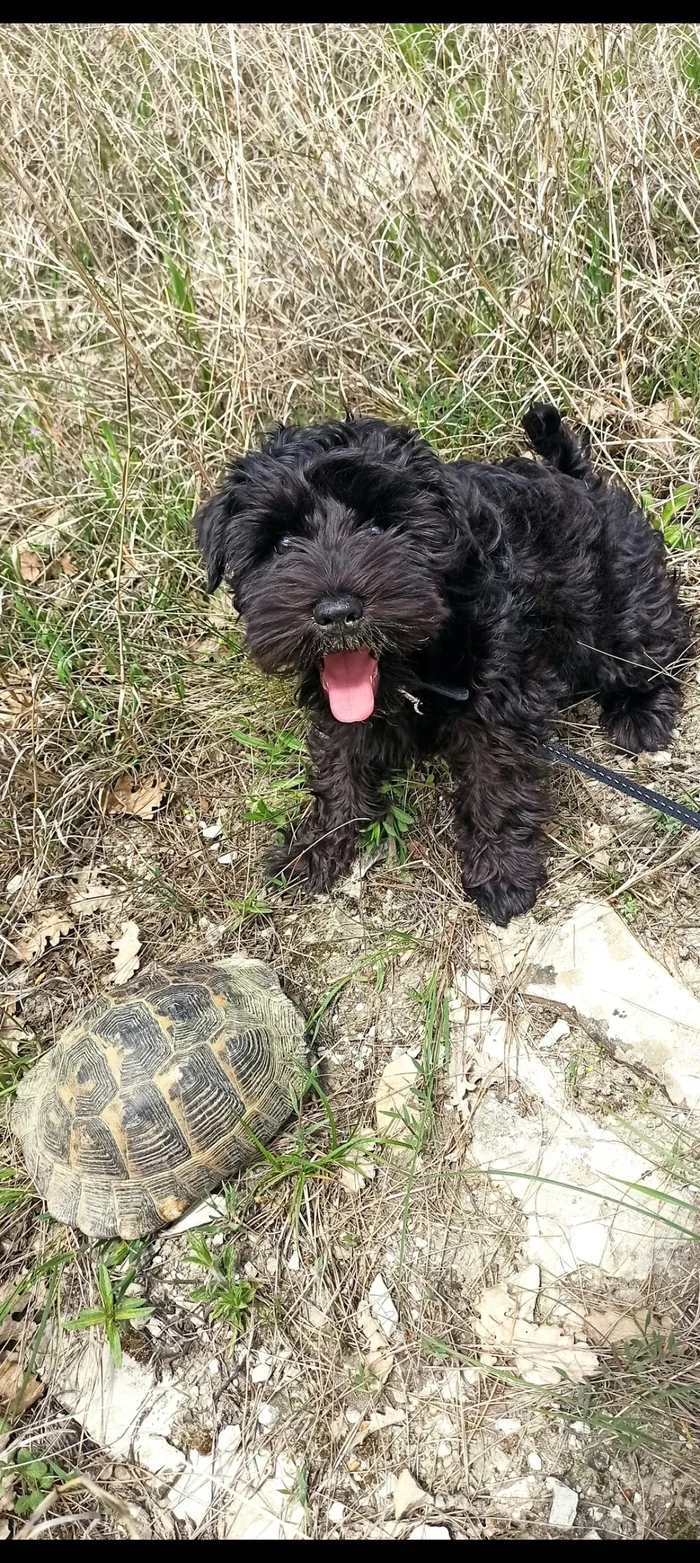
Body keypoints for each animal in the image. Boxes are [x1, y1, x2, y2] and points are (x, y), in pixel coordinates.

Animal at [196, 403, 687, 931]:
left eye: (380, 527)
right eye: (283, 542)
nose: (337, 612)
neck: (416, 661)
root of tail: (582, 481)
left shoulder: (501, 706)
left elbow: (497, 784)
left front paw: (501, 874)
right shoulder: (340, 708)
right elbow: (337, 765)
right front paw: (318, 845)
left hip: (622, 609)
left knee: (658, 646)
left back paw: (642, 714)